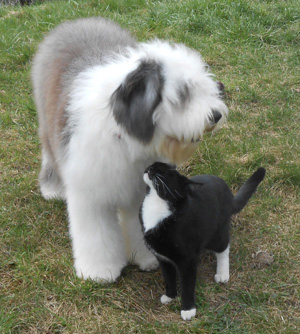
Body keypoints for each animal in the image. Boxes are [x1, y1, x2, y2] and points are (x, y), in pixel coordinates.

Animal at [31, 17, 229, 284]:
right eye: (182, 94)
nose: (216, 115)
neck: (125, 138)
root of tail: (77, 21)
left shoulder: (141, 191)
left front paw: (145, 257)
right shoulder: (90, 194)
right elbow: (96, 235)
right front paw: (100, 271)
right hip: (47, 122)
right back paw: (52, 188)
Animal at [139, 162, 266, 320]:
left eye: (165, 171)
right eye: (155, 165)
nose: (150, 167)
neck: (157, 204)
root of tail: (229, 193)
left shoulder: (187, 259)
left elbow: (187, 285)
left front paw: (188, 309)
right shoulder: (163, 257)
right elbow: (168, 277)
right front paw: (170, 296)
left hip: (217, 231)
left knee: (223, 248)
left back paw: (223, 273)